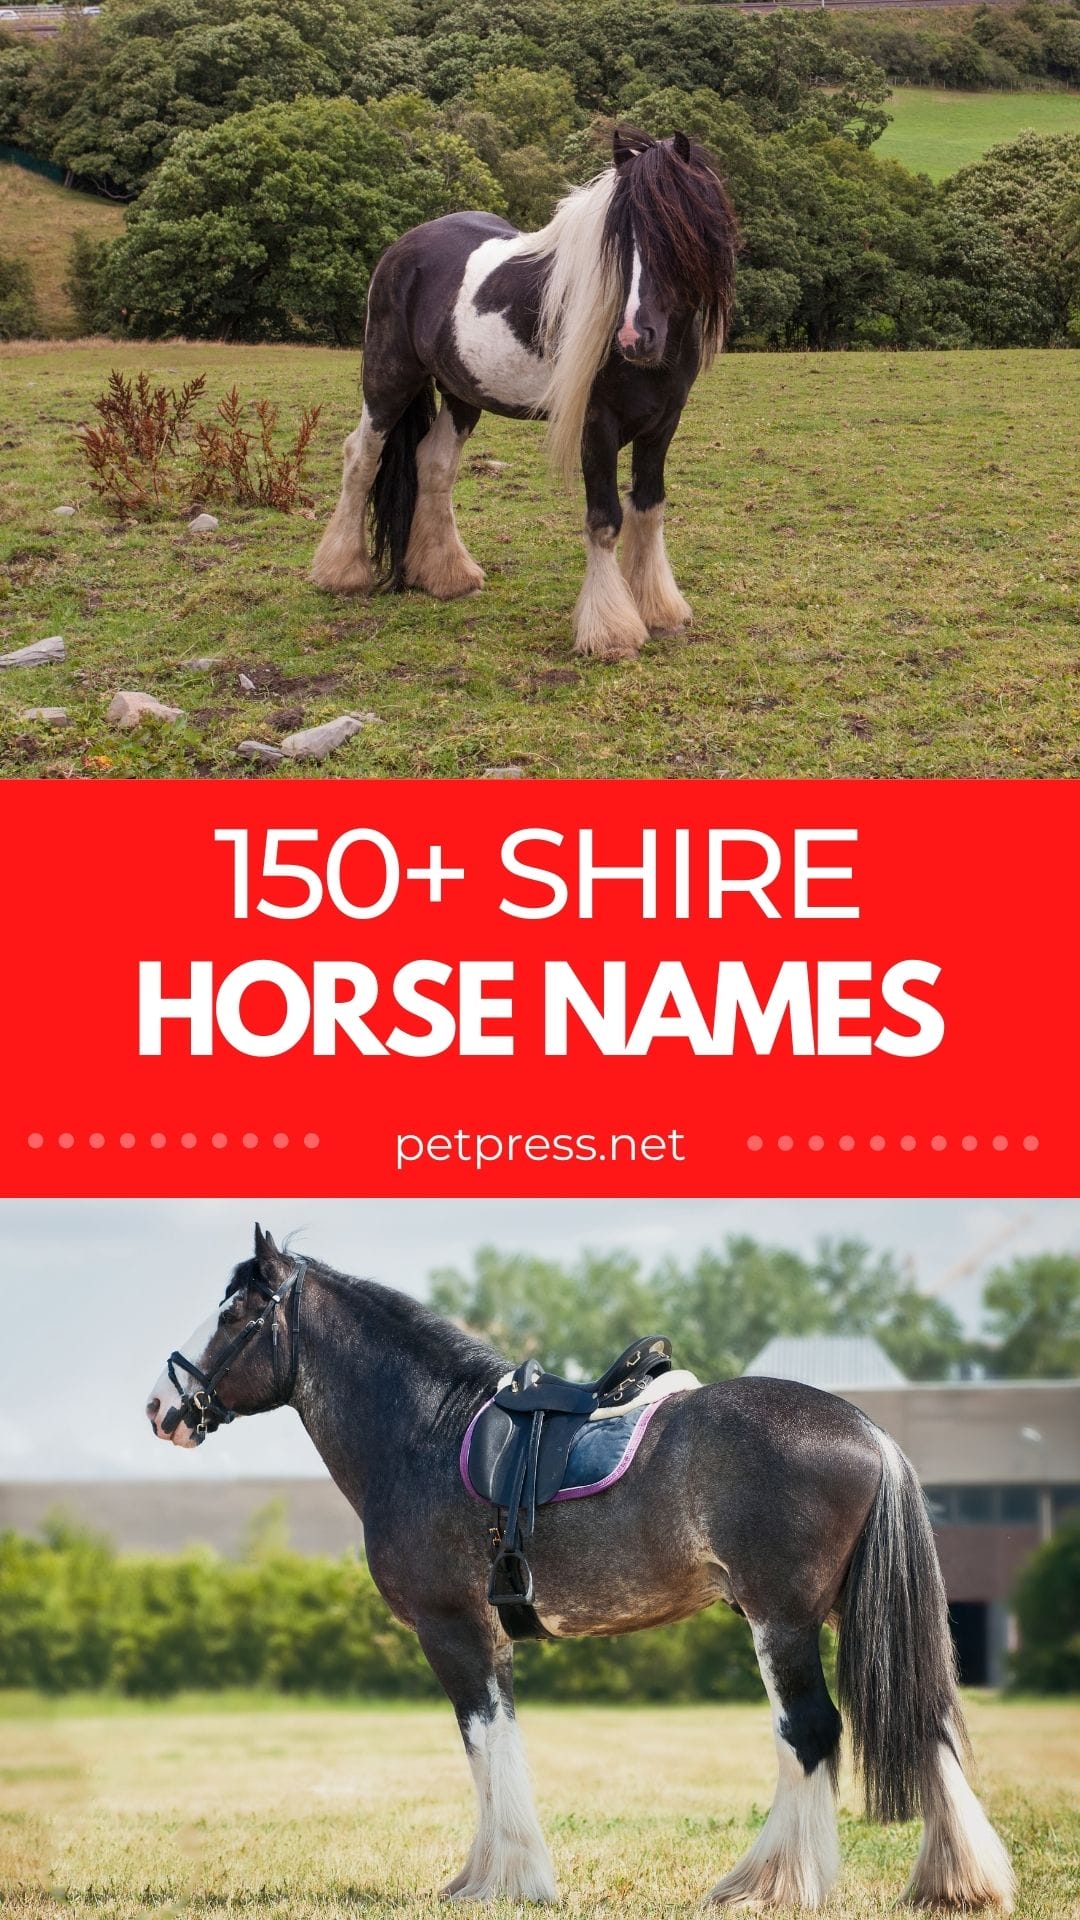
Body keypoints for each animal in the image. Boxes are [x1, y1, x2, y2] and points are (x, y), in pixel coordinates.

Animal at [146, 1228, 1015, 1913]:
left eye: (237, 1314)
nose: (161, 1406)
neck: (426, 1432)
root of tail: (870, 1431)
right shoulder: (485, 1635)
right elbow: (496, 1743)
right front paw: (490, 1875)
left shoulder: (451, 1629)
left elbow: (485, 1742)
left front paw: (504, 1880)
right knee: (926, 1716)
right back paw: (956, 1883)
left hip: (784, 1621)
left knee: (810, 1731)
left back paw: (770, 1884)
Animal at [310, 129, 739, 662]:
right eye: (620, 239)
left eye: (674, 232)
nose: (636, 337)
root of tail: (402, 249)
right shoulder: (597, 426)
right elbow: (605, 519)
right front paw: (610, 632)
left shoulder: (662, 426)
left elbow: (649, 507)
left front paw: (658, 610)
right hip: (388, 381)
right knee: (362, 457)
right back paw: (341, 573)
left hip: (461, 394)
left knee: (434, 463)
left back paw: (449, 577)